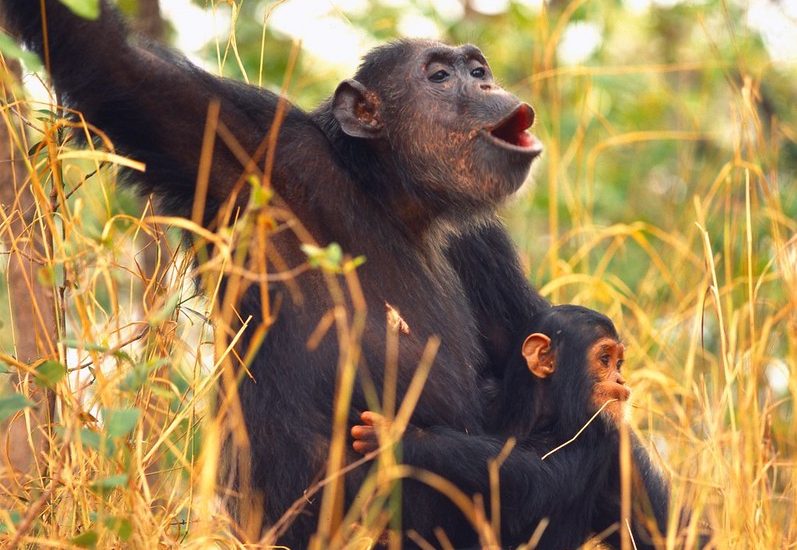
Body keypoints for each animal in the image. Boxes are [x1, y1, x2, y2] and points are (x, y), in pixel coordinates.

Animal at [3, 0, 556, 544]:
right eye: (440, 76)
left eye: (477, 70)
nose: (485, 86)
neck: (387, 193)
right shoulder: (255, 149)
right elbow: (114, 67)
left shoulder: (483, 245)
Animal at [354, 306, 672, 550]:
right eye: (605, 359)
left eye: (619, 363)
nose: (620, 380)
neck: (537, 414)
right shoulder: (488, 396)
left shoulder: (595, 437)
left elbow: (534, 480)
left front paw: (402, 437)